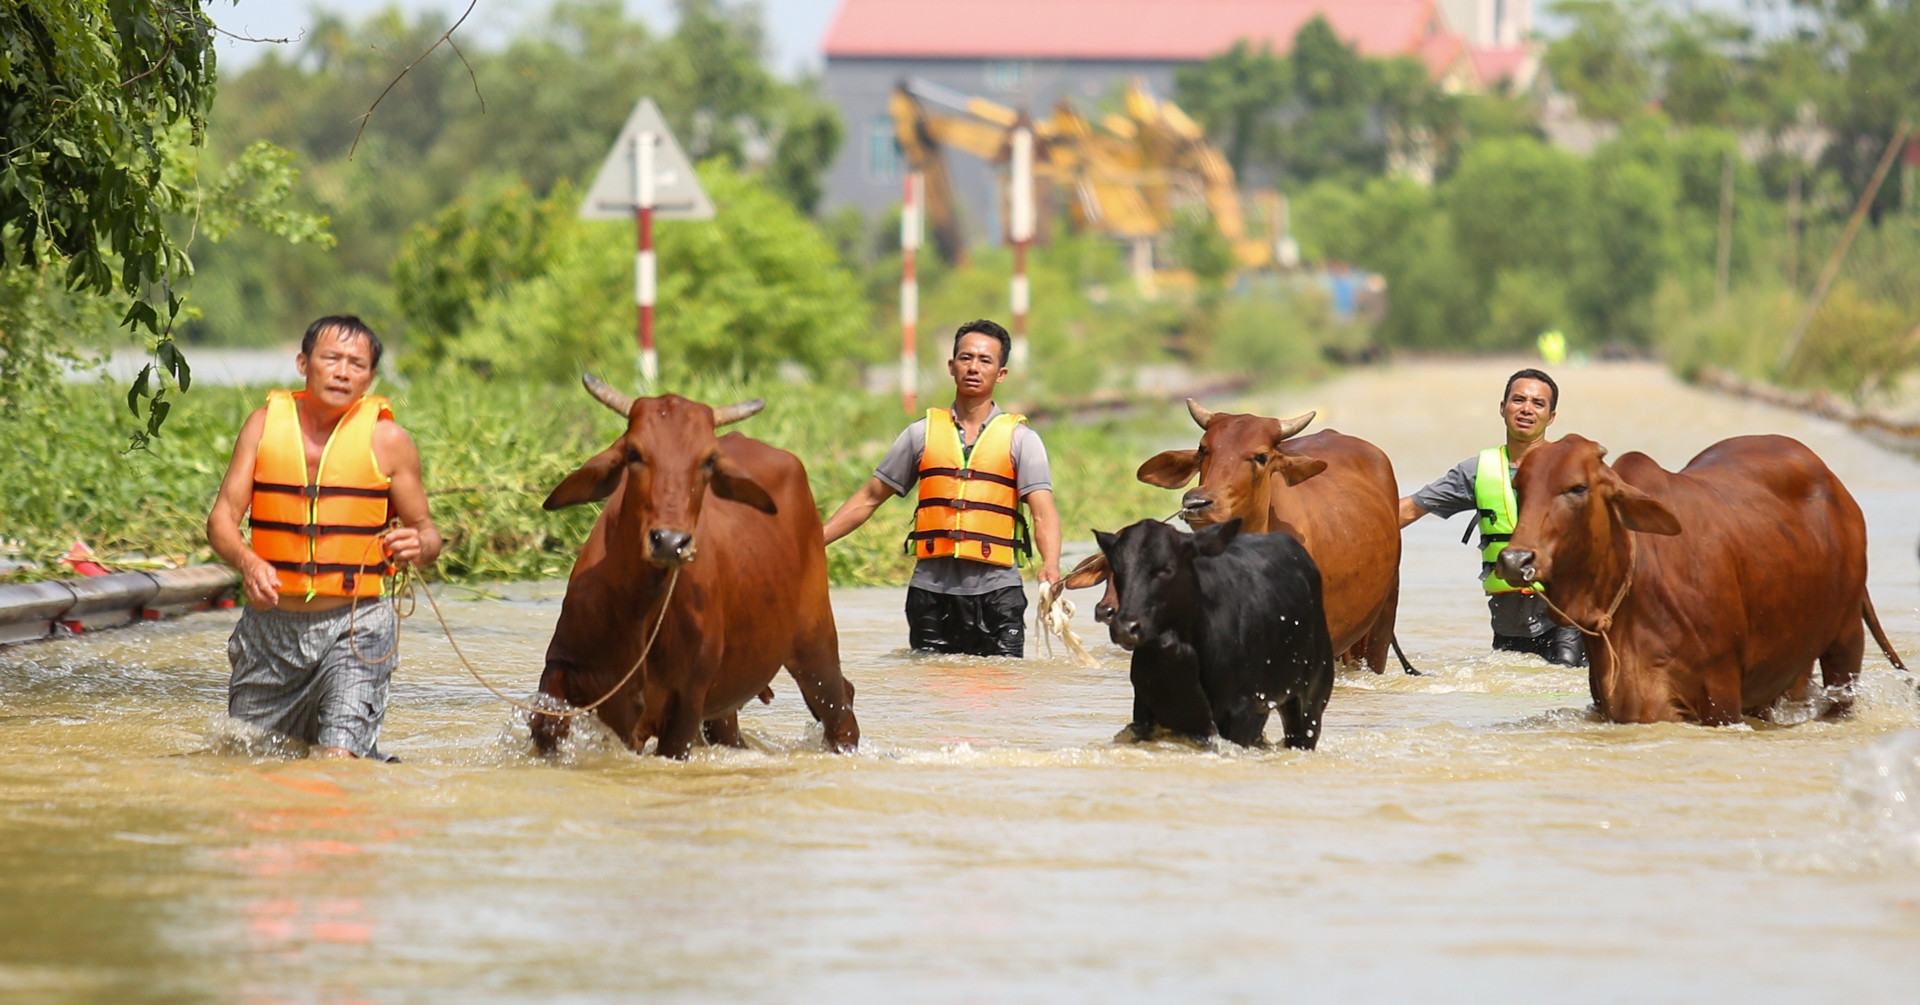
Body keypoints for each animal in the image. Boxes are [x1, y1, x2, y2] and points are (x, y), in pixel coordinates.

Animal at [526, 382, 856, 760]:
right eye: (634, 453)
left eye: (708, 460)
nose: (670, 542)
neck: (636, 613)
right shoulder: (563, 666)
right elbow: (546, 725)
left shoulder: (687, 703)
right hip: (728, 706)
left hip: (816, 649)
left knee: (841, 709)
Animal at [1098, 518, 1336, 745]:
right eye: (1117, 570)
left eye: (1166, 569)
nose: (1125, 628)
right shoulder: (1144, 714)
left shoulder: (1241, 715)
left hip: (1310, 705)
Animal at [1489, 436, 1896, 726]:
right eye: (1520, 487)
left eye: (1577, 488)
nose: (1516, 560)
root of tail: (1839, 491)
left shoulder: (1721, 697)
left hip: (1845, 643)